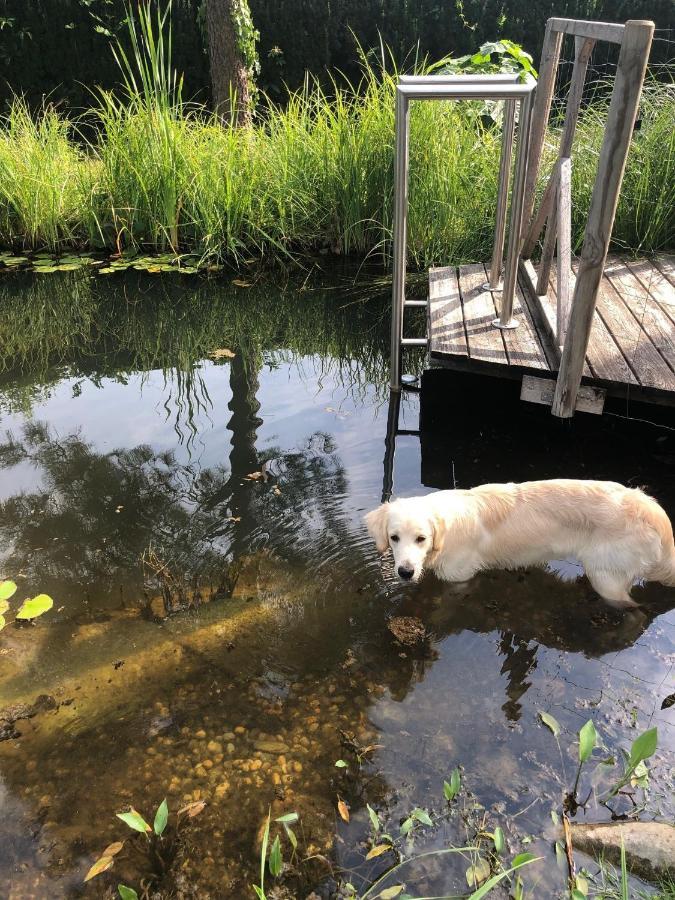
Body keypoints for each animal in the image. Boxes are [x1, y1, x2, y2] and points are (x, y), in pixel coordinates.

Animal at [368, 478, 675, 612]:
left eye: (421, 538)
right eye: (394, 538)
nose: (405, 572)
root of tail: (652, 509)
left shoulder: (459, 578)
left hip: (606, 578)